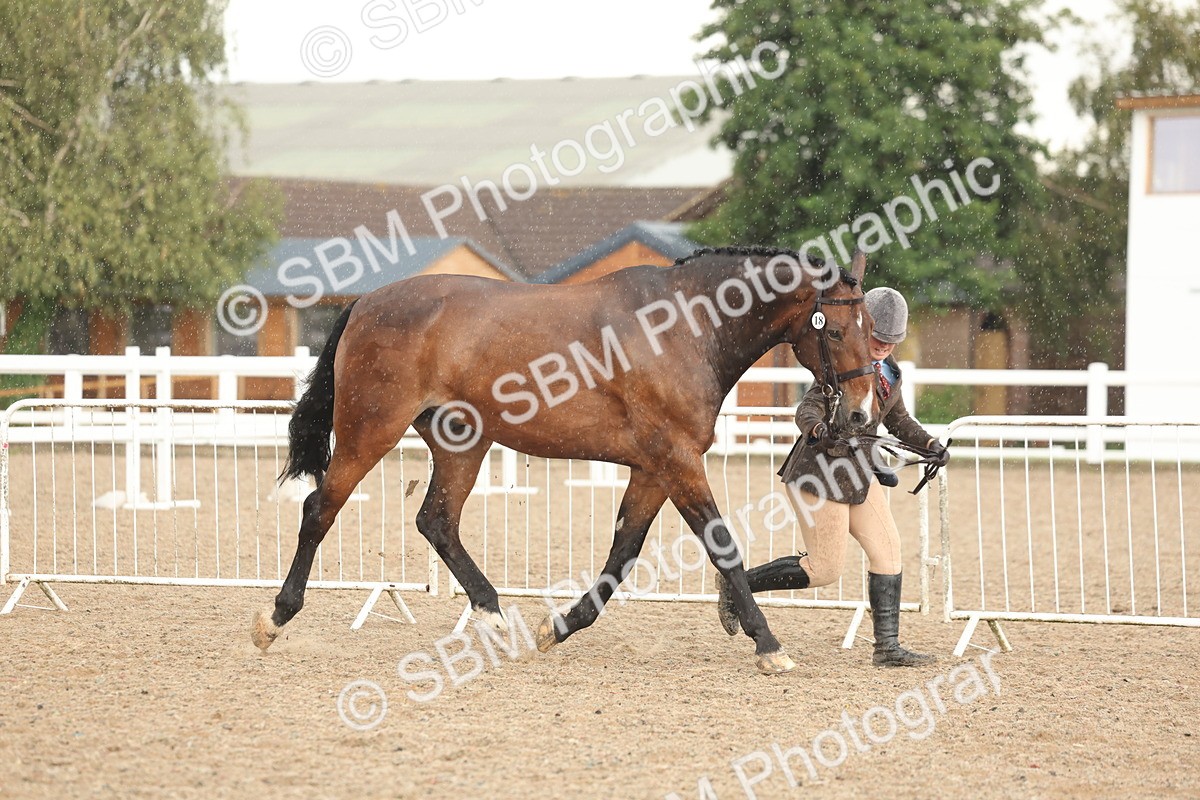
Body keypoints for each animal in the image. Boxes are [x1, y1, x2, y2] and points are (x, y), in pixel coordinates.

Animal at [251, 246, 879, 674]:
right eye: (835, 328)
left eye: (872, 329)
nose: (858, 416)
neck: (686, 325)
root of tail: (366, 301)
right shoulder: (677, 461)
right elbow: (721, 545)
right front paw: (768, 645)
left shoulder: (653, 469)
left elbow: (622, 554)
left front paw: (558, 627)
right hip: (370, 432)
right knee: (320, 509)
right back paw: (274, 619)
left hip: (462, 443)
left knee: (437, 521)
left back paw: (494, 618)